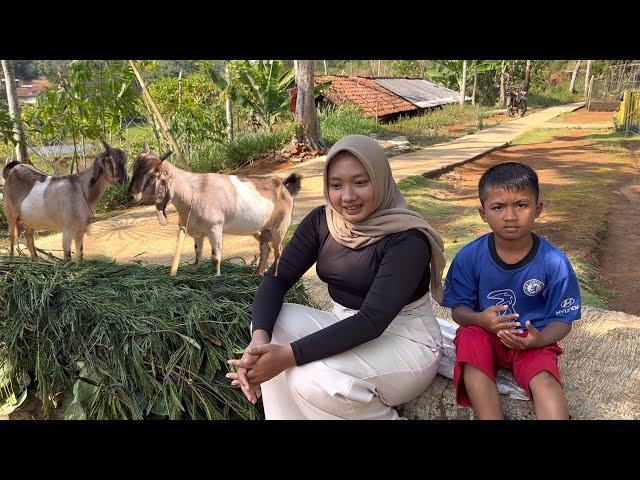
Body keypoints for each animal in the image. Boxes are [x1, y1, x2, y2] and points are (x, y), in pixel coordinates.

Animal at [1, 141, 129, 264]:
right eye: (108, 160)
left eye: (125, 160)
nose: (122, 180)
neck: (81, 189)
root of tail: (14, 169)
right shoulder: (68, 228)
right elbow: (67, 256)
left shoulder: (80, 228)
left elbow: (80, 253)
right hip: (10, 212)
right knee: (12, 236)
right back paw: (12, 259)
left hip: (29, 219)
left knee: (28, 235)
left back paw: (36, 260)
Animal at [129, 144, 304, 276]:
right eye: (133, 169)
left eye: (153, 175)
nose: (131, 195)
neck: (194, 191)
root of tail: (284, 185)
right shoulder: (197, 232)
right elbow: (198, 254)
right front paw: (193, 271)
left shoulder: (215, 228)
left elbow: (215, 256)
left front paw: (215, 276)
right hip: (261, 229)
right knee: (265, 248)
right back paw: (256, 274)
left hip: (279, 227)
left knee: (278, 251)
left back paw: (273, 275)